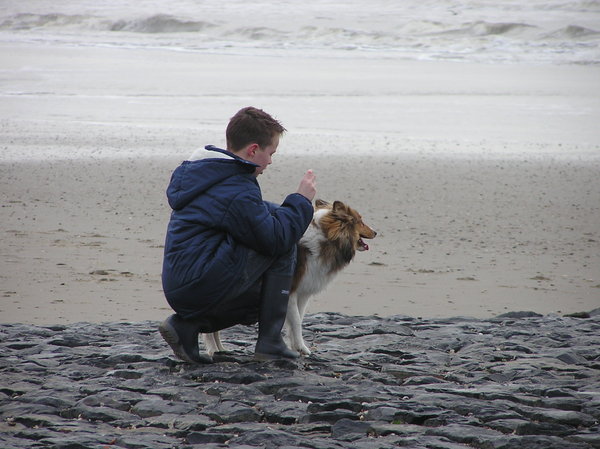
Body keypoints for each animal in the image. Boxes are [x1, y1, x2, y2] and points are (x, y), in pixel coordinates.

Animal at [204, 200, 378, 356]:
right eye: (360, 221)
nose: (376, 232)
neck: (325, 237)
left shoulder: (302, 293)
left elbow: (298, 319)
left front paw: (295, 346)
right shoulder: (292, 292)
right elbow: (296, 321)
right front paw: (302, 348)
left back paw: (220, 349)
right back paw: (213, 349)